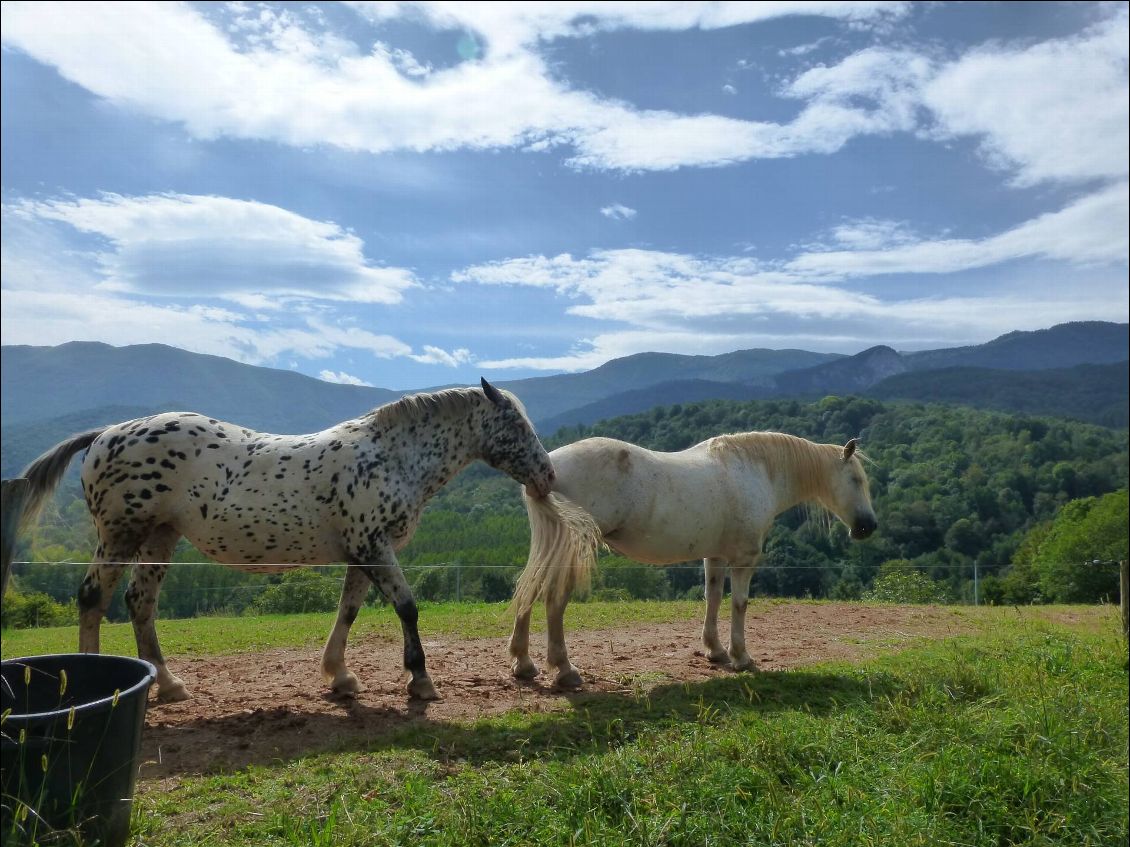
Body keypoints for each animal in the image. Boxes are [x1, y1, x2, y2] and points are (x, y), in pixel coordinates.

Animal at [17, 379, 555, 704]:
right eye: (515, 424)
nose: (546, 475)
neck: (391, 458)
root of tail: (105, 434)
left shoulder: (362, 553)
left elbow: (348, 611)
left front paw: (340, 676)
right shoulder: (375, 548)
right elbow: (407, 607)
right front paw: (420, 680)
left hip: (158, 538)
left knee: (138, 602)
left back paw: (168, 684)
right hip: (120, 534)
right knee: (93, 598)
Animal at [508, 431, 876, 691]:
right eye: (856, 480)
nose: (868, 527)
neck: (756, 471)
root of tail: (544, 468)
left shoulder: (715, 555)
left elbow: (712, 598)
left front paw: (716, 651)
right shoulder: (744, 558)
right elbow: (739, 603)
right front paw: (742, 657)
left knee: (530, 591)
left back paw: (524, 664)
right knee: (554, 601)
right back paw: (565, 670)